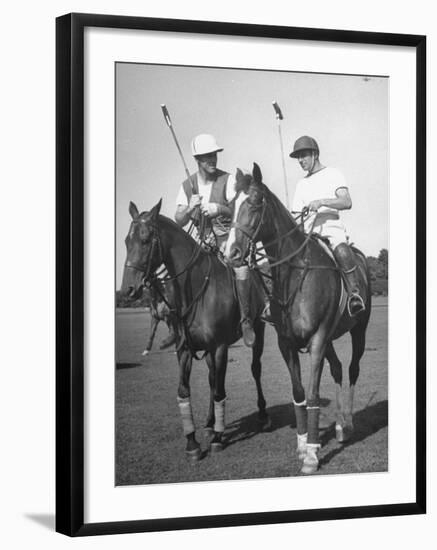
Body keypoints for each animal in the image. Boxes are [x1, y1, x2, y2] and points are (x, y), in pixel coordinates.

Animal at [120, 201, 270, 464]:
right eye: (127, 241)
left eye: (146, 239)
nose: (128, 289)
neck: (199, 287)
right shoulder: (186, 348)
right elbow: (185, 390)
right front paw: (192, 442)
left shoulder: (220, 346)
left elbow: (220, 391)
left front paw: (218, 439)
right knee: (212, 378)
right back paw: (210, 423)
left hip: (257, 332)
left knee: (254, 369)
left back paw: (261, 413)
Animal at [225, 163, 372, 474]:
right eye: (230, 205)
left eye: (254, 202)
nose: (230, 253)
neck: (295, 274)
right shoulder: (287, 343)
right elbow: (299, 392)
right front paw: (304, 444)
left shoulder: (317, 340)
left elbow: (314, 394)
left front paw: (313, 455)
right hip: (331, 337)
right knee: (338, 369)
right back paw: (340, 427)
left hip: (359, 330)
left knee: (353, 369)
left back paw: (349, 423)